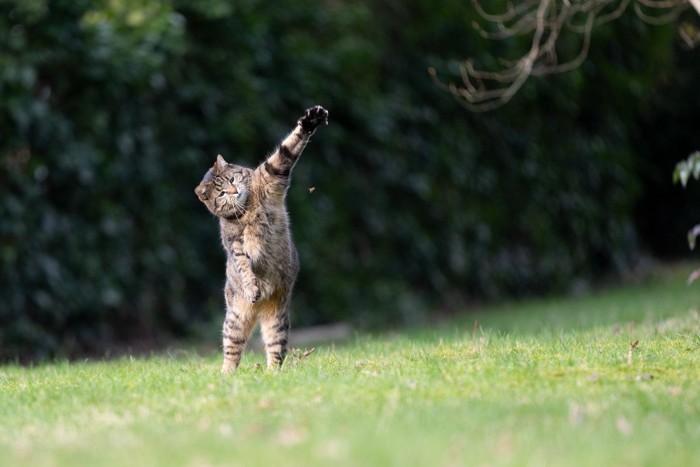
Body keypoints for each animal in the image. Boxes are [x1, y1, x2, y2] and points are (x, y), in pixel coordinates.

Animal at [194, 105, 330, 372]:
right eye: (222, 194)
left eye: (232, 179)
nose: (234, 191)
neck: (247, 207)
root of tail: (257, 311)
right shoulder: (236, 245)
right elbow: (244, 266)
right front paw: (251, 286)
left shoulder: (273, 172)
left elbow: (287, 148)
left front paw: (311, 120)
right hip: (235, 320)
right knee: (232, 350)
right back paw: (226, 373)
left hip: (277, 320)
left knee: (274, 350)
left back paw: (272, 374)